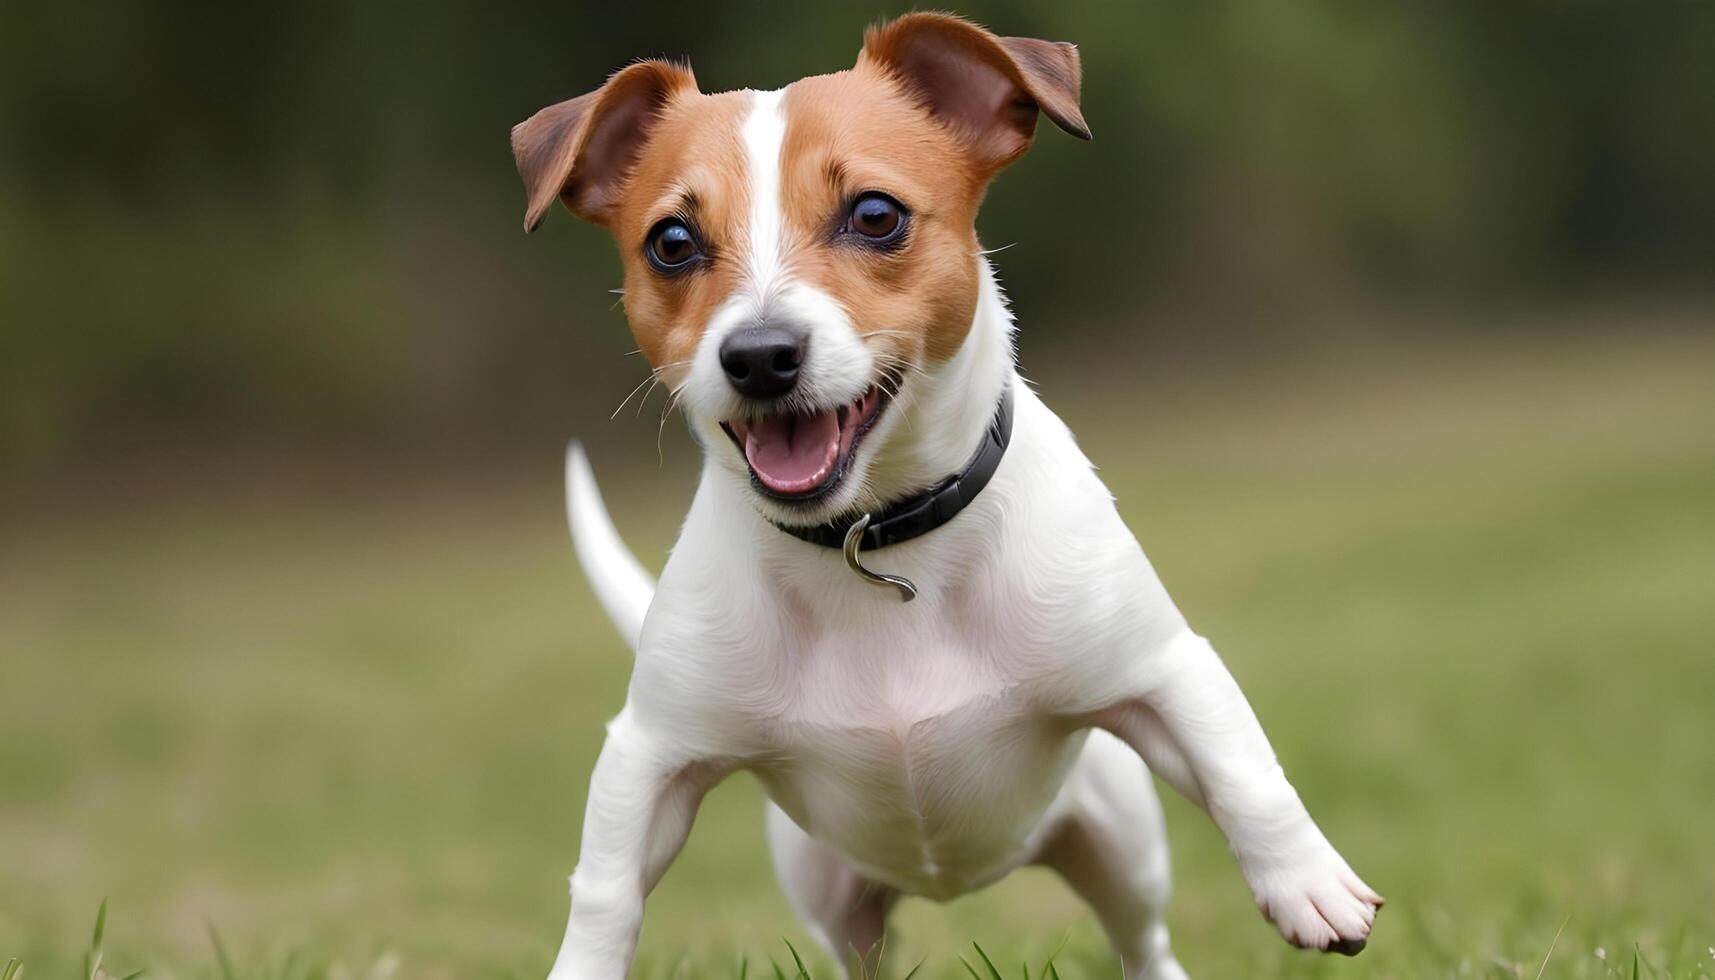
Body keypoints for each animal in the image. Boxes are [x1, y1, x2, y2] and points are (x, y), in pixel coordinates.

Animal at [511, 15, 1378, 980]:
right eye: (671, 242)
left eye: (875, 216)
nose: (761, 355)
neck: (875, 539)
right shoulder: (651, 755)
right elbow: (605, 892)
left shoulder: (1161, 674)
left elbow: (1242, 771)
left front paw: (1307, 881)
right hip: (832, 891)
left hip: (1117, 842)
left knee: (1141, 937)